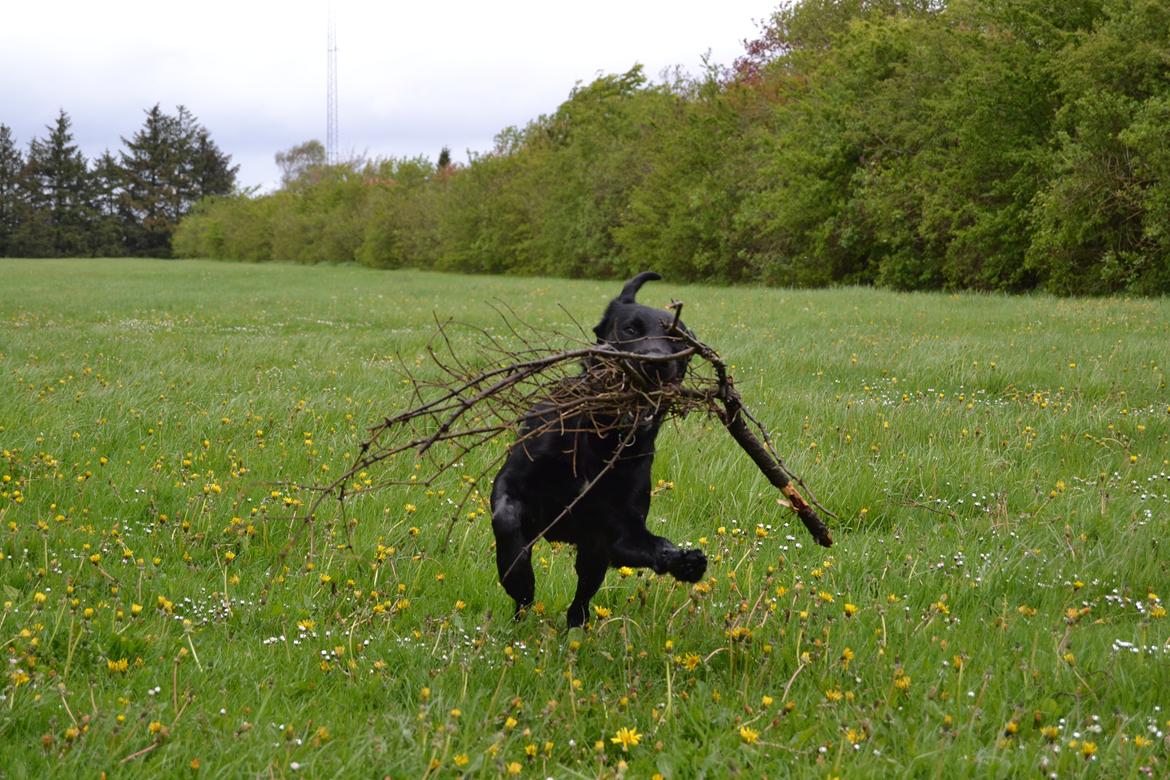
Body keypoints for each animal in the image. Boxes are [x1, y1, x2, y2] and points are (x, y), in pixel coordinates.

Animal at [489, 274, 706, 626]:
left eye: (677, 339)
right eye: (629, 329)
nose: (656, 364)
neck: (602, 440)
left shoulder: (614, 536)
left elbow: (651, 546)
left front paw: (684, 561)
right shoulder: (510, 486)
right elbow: (506, 520)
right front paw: (518, 577)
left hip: (591, 558)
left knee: (581, 599)